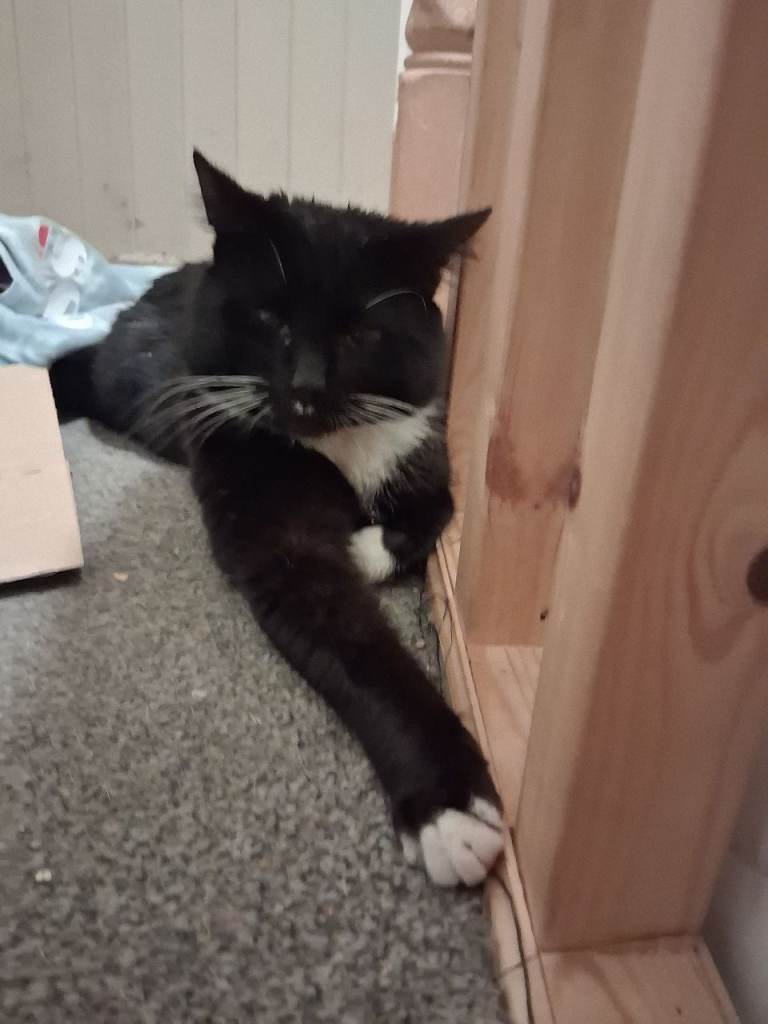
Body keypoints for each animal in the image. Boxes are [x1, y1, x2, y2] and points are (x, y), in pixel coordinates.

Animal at [50, 151, 504, 887]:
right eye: (271, 319)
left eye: (361, 333)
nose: (307, 389)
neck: (333, 443)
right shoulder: (257, 502)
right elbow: (353, 644)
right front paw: (452, 807)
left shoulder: (422, 438)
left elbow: (437, 507)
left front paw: (370, 547)